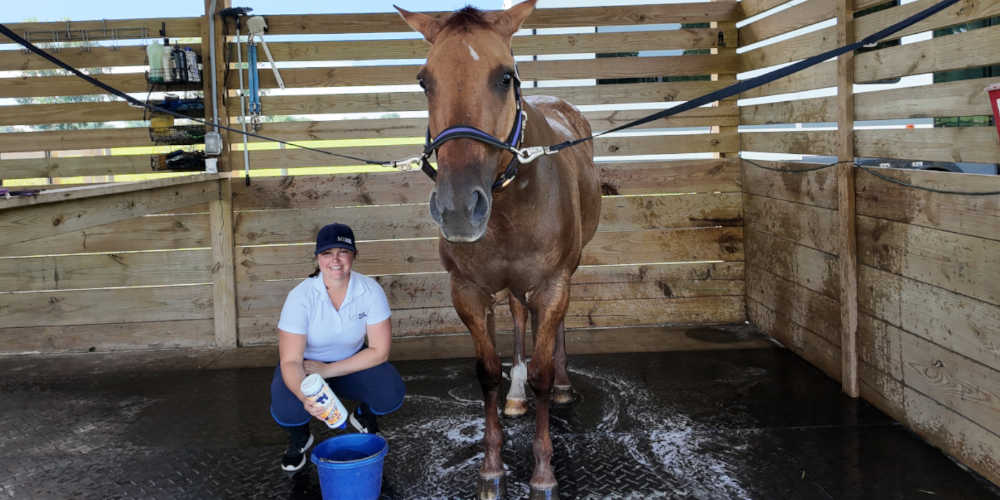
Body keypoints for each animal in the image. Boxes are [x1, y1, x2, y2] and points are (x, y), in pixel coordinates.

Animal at [397, 1, 601, 497]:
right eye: (424, 80)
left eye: (505, 76)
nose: (457, 208)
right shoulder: (468, 292)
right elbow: (487, 373)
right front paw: (491, 468)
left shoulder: (552, 285)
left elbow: (544, 368)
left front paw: (543, 474)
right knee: (518, 317)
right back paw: (516, 395)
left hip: (567, 273)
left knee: (553, 329)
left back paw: (562, 385)